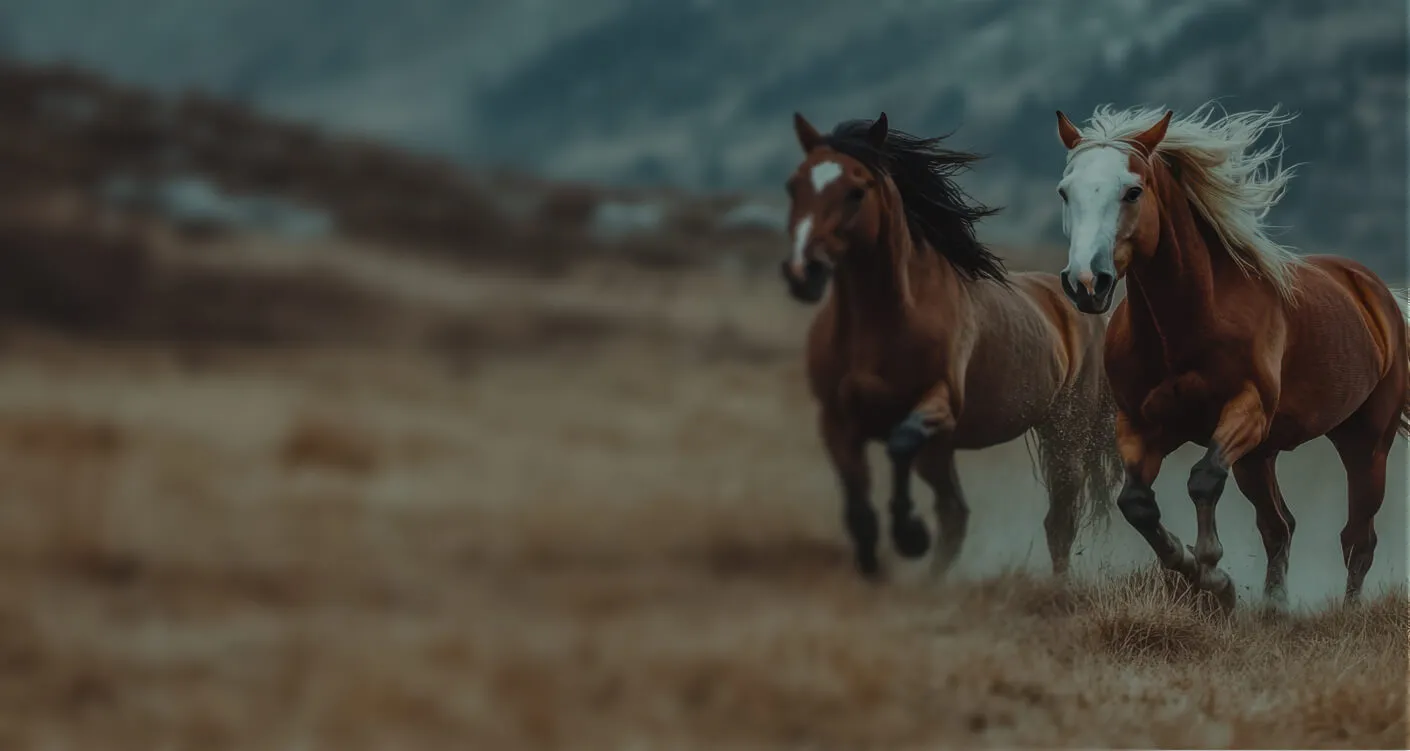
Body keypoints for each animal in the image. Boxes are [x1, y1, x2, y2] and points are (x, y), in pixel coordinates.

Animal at [780, 111, 1123, 582]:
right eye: (793, 186)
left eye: (855, 191)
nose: (803, 272)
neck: (879, 325)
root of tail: (1083, 301)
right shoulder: (836, 421)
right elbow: (859, 510)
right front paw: (874, 567)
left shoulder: (939, 403)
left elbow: (899, 443)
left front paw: (909, 534)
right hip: (947, 451)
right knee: (956, 514)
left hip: (1065, 434)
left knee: (1059, 522)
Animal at [1051, 103, 1410, 610]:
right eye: (1065, 191)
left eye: (1133, 191)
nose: (1086, 283)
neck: (1185, 326)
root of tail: (1378, 294)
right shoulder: (1139, 424)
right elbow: (1136, 503)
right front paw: (1193, 568)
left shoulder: (1246, 411)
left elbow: (1203, 478)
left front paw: (1212, 572)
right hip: (1259, 457)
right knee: (1279, 526)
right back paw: (1274, 608)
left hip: (1364, 442)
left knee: (1357, 537)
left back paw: (1349, 611)